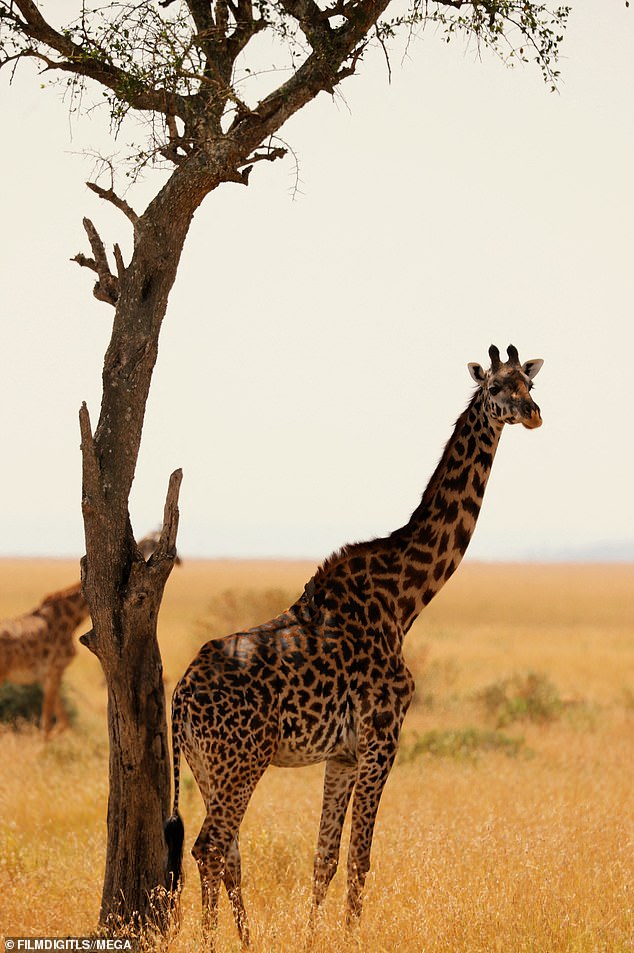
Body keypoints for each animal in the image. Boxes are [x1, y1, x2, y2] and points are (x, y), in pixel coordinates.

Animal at [165, 342, 540, 944]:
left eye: (528, 383)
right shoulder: (382, 738)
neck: (407, 598)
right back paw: (212, 943)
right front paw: (349, 937)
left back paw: (246, 941)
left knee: (228, 853)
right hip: (241, 761)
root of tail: (179, 698)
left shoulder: (342, 753)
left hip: (208, 768)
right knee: (210, 847)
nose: (533, 413)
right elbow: (362, 858)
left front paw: (312, 938)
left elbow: (325, 858)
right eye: (495, 388)